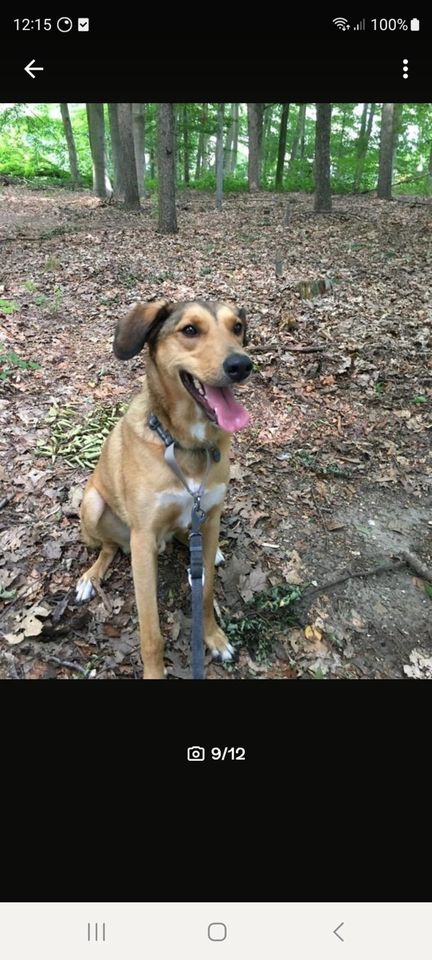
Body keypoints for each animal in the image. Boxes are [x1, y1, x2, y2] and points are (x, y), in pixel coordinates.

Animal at [77, 296, 253, 680]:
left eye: (237, 328)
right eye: (190, 330)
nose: (242, 365)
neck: (187, 444)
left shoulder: (210, 513)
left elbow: (206, 592)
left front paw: (213, 637)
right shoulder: (142, 540)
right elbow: (151, 633)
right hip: (93, 505)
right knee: (108, 547)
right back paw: (90, 576)